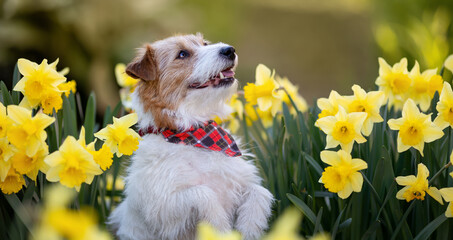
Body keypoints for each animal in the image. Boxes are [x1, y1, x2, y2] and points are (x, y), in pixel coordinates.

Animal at [107, 33, 274, 240]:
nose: (229, 50)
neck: (194, 135)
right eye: (182, 54)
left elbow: (260, 191)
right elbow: (203, 193)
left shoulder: (238, 181)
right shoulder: (162, 207)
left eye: (205, 44)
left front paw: (249, 228)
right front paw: (220, 229)